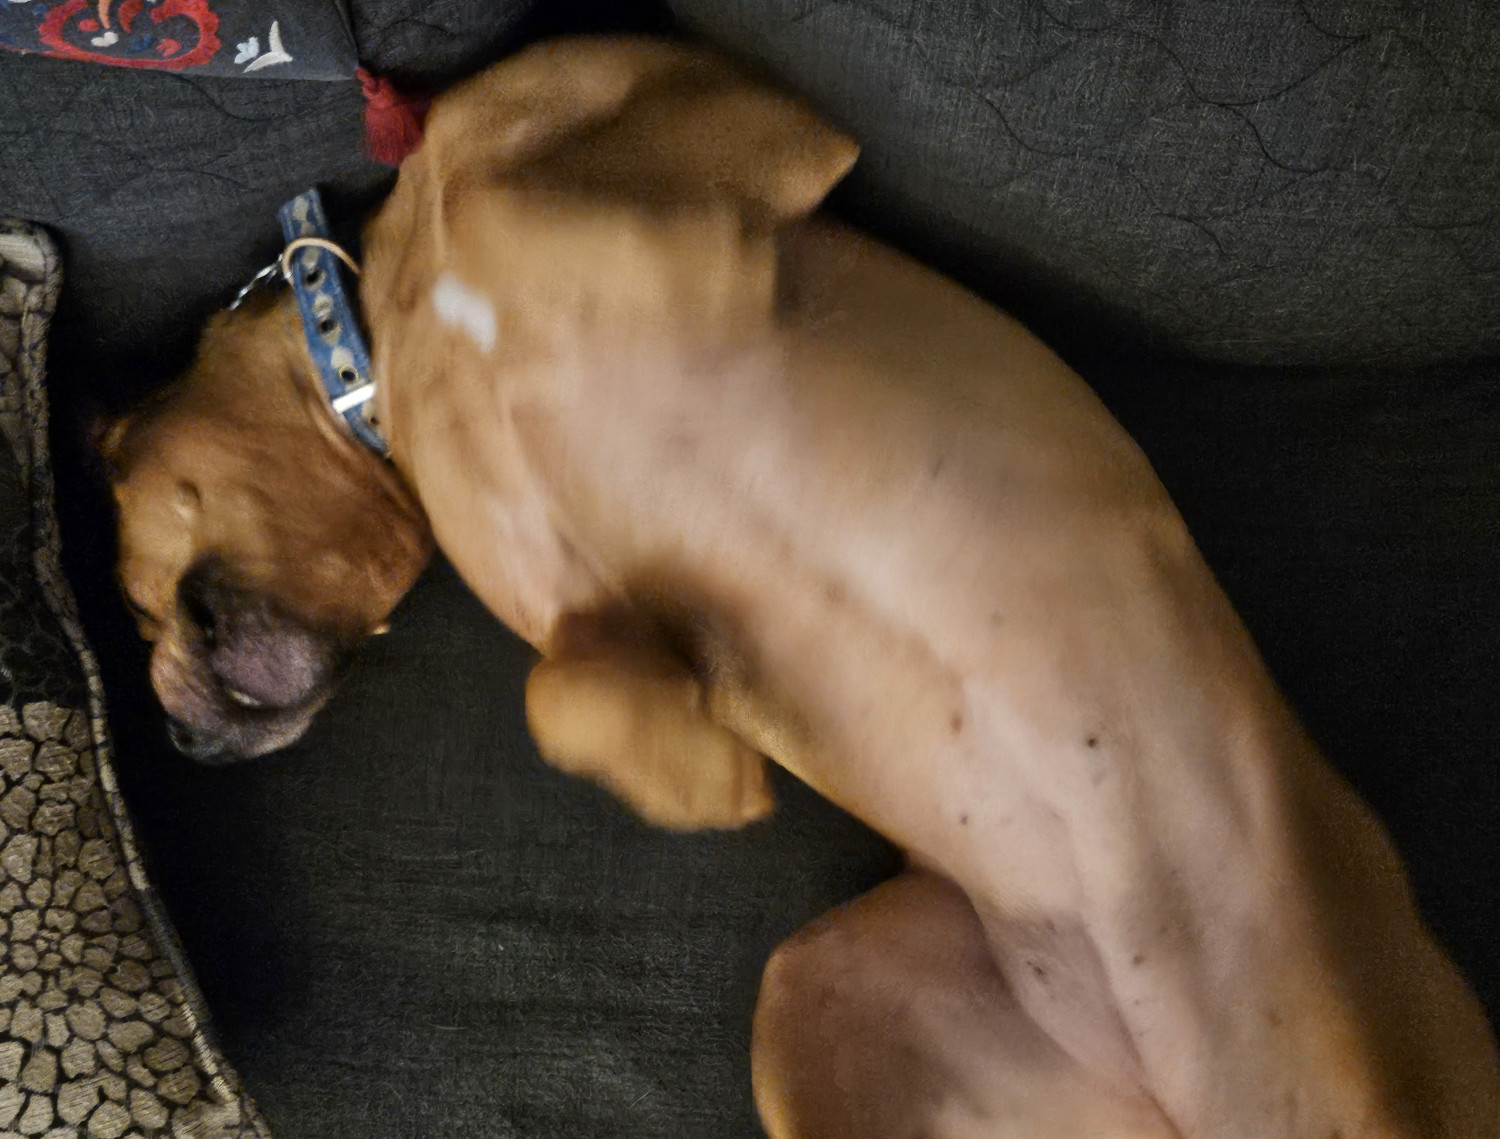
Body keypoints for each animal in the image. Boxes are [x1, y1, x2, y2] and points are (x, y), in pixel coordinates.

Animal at [99, 35, 1494, 1139]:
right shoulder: (592, 610)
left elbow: (533, 216)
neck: (373, 340)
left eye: (129, 594)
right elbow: (571, 688)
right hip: (813, 1006)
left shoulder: (732, 150)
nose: (177, 737)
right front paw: (696, 766)